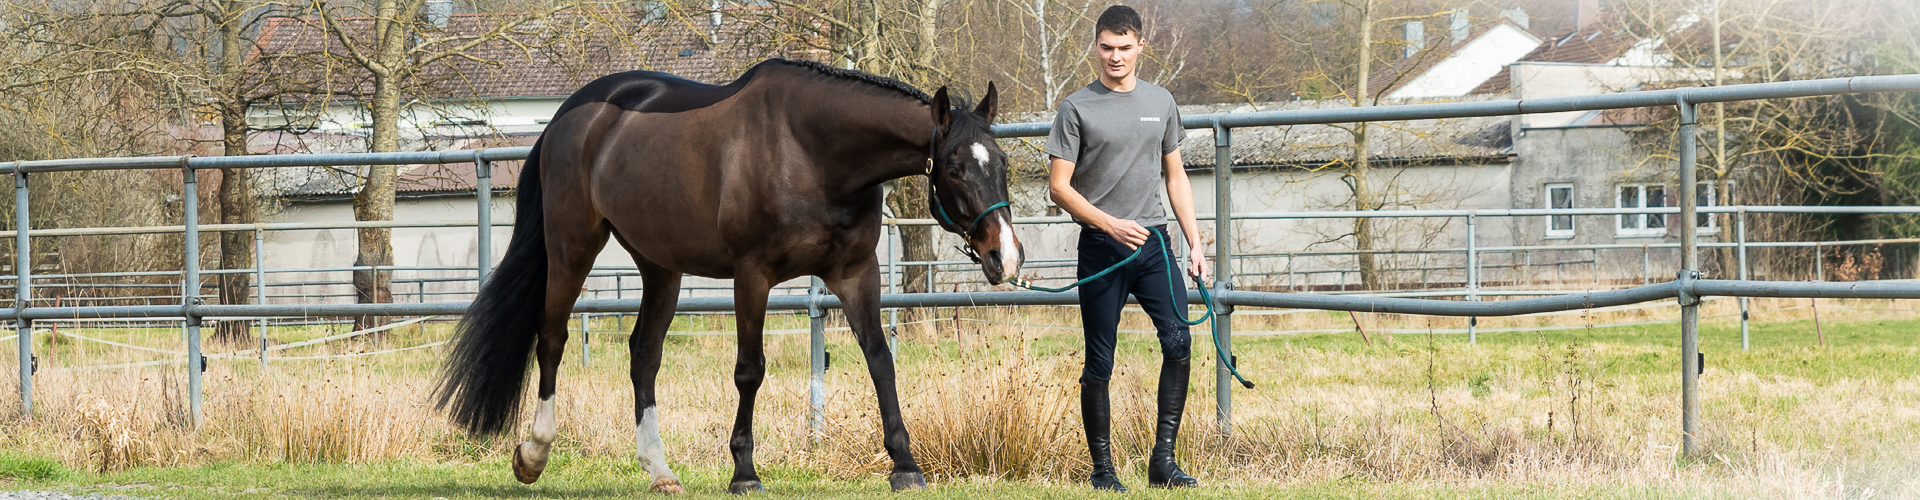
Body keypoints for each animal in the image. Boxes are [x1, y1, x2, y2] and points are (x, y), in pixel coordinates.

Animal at [432, 58, 1021, 492]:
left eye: (1003, 163)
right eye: (954, 168)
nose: (1006, 257)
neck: (809, 149)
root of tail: (564, 119)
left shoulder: (856, 273)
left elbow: (880, 361)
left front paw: (905, 466)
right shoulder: (751, 275)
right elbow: (749, 370)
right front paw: (744, 472)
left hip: (660, 265)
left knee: (644, 354)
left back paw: (660, 471)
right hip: (572, 246)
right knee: (551, 339)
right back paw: (533, 455)